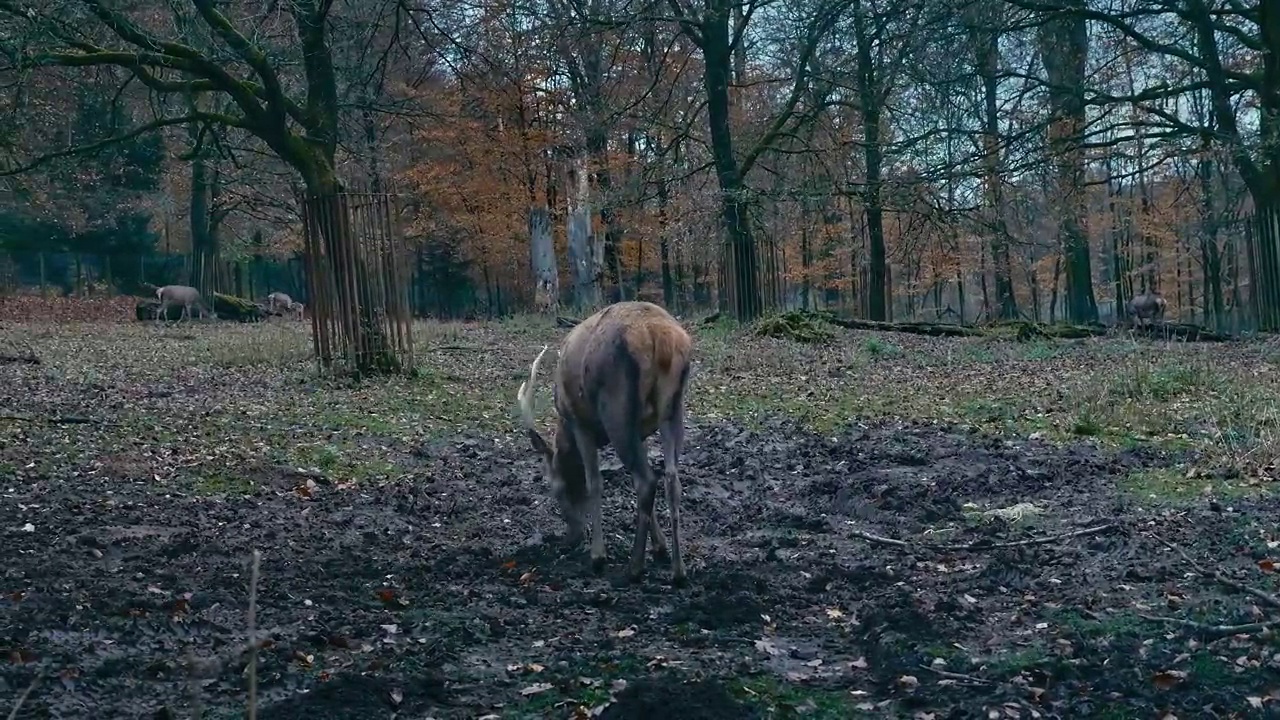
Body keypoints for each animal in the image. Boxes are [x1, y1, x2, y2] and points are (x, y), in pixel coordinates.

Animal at [514, 298, 696, 584]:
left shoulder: (580, 423)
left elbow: (594, 482)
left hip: (615, 406)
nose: (571, 537)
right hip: (672, 408)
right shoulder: (641, 430)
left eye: (555, 490)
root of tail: (660, 336)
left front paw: (598, 555)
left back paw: (634, 567)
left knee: (646, 480)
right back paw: (678, 571)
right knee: (669, 478)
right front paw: (660, 547)